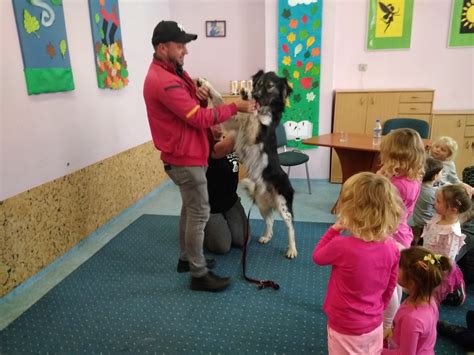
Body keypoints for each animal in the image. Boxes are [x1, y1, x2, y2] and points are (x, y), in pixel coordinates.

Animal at [199, 71, 296, 258]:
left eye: (270, 85)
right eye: (258, 83)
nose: (255, 94)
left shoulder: (255, 133)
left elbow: (255, 117)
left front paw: (247, 96)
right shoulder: (233, 122)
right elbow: (220, 100)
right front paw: (205, 83)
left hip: (282, 202)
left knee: (290, 226)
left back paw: (292, 250)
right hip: (261, 201)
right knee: (270, 220)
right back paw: (266, 236)